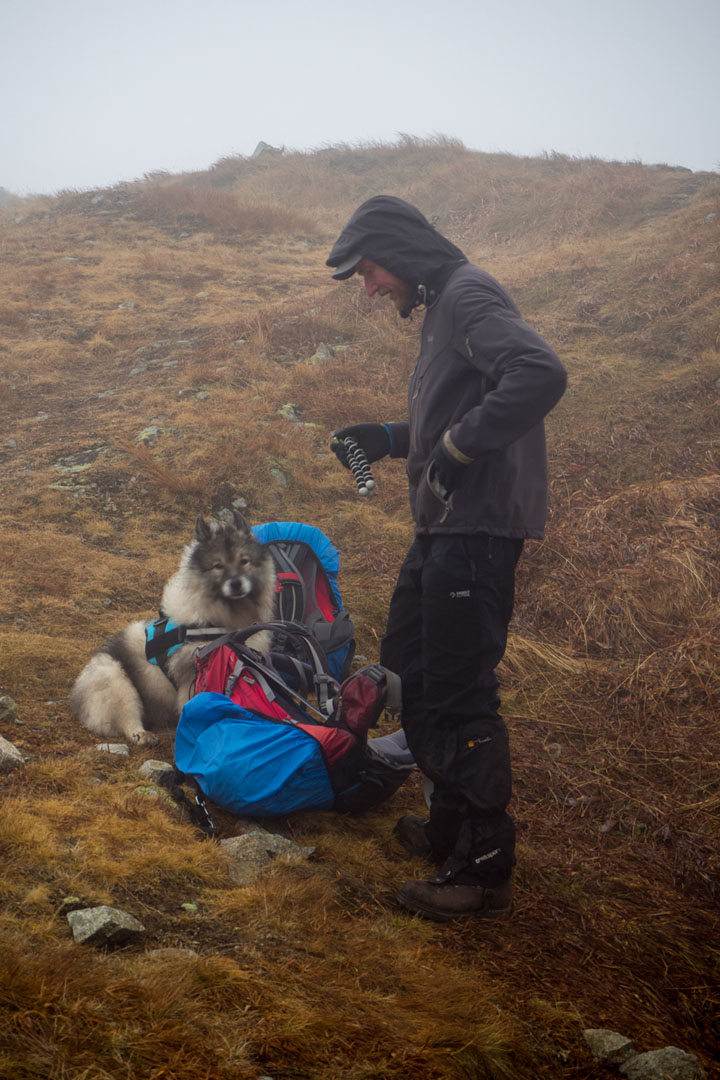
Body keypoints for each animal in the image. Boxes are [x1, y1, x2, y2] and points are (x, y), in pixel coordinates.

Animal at [71, 511, 276, 747]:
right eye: (218, 566)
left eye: (244, 561)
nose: (236, 584)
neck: (220, 619)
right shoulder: (192, 677)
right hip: (113, 677)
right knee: (127, 717)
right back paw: (142, 735)